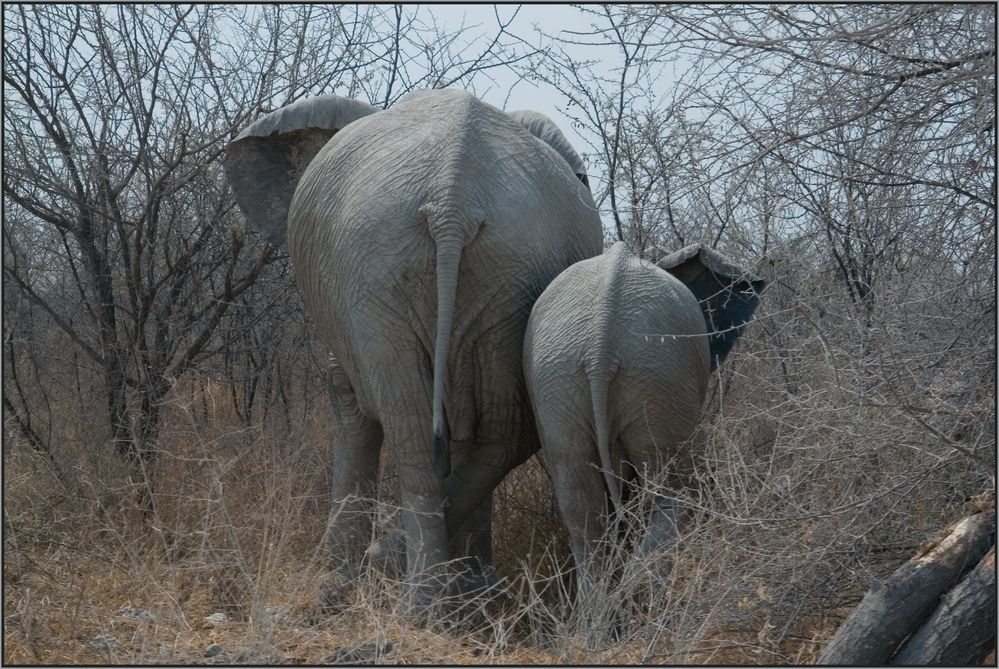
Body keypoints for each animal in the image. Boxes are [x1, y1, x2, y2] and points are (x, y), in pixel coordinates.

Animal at [227, 91, 600, 608]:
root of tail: (452, 197)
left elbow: (346, 395)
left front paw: (341, 574)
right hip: (494, 269)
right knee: (493, 429)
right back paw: (449, 592)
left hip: (389, 266)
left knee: (420, 425)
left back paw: (416, 595)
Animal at [524, 243, 764, 604]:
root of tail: (601, 345)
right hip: (657, 377)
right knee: (675, 490)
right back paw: (641, 603)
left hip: (558, 379)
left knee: (579, 502)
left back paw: (602, 614)